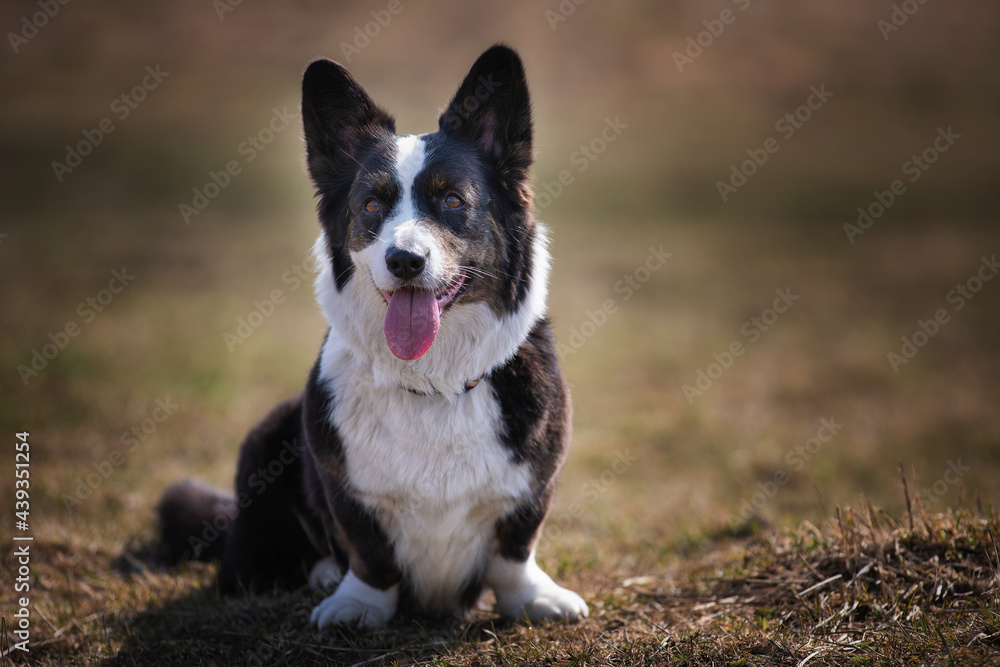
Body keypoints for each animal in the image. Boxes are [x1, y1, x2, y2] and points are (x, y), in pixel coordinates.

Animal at [158, 44, 584, 628]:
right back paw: (321, 575)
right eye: (372, 205)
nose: (404, 261)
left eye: (453, 201)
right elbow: (368, 550)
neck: (434, 382)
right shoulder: (346, 491)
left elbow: (515, 548)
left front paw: (534, 598)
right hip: (266, 443)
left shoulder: (535, 485)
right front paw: (358, 604)